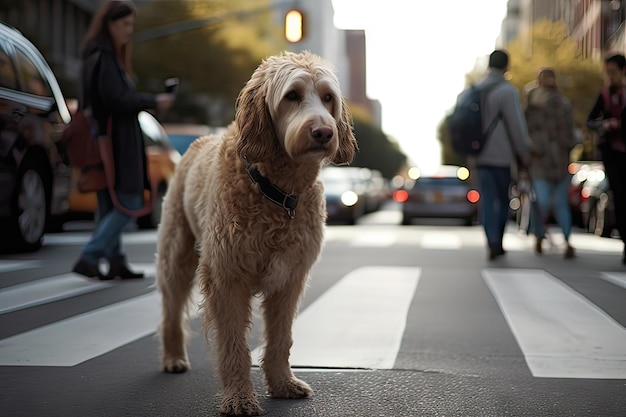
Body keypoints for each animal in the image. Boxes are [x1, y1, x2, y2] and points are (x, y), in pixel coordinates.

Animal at [156, 50, 356, 414]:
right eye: (292, 95)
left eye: (328, 98)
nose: (324, 132)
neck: (276, 190)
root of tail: (200, 139)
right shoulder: (227, 277)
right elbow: (234, 345)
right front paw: (239, 398)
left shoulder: (289, 279)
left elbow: (280, 339)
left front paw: (282, 384)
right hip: (176, 253)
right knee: (171, 309)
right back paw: (173, 357)